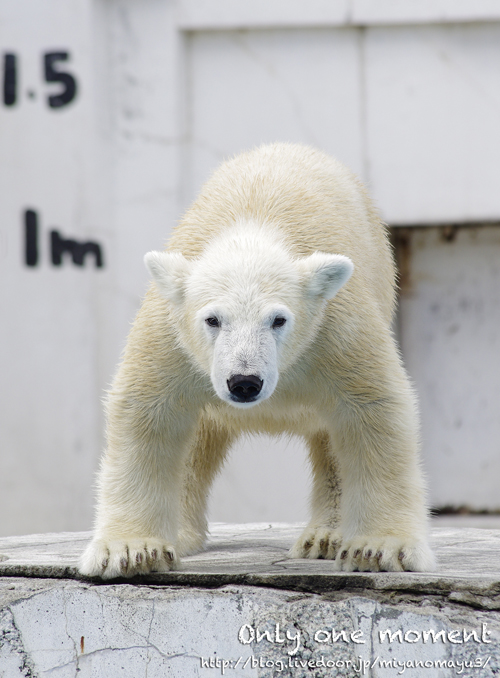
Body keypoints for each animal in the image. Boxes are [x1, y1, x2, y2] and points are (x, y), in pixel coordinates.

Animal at [78, 143, 434, 580]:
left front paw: (379, 548)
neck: (253, 225)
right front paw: (131, 551)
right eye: (213, 319)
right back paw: (181, 532)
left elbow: (373, 409)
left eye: (278, 319)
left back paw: (326, 537)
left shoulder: (335, 328)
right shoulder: (171, 334)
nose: (244, 382)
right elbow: (148, 410)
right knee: (197, 440)